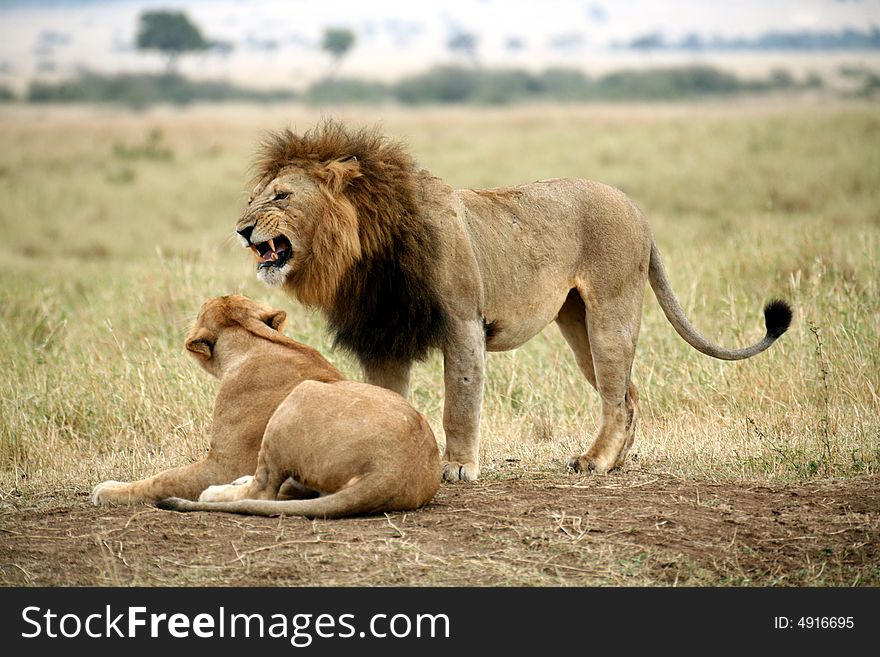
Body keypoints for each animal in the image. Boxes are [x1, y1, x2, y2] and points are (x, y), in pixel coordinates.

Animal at [89, 294, 440, 516]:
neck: (255, 339)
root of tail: (394, 471)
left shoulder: (223, 463)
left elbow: (163, 479)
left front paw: (108, 491)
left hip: (299, 396)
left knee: (263, 490)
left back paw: (217, 493)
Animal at [237, 120, 796, 482]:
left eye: (281, 196)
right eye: (252, 199)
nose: (242, 230)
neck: (363, 250)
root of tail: (637, 209)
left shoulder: (463, 322)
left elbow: (460, 402)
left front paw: (459, 467)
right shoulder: (384, 335)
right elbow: (386, 399)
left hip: (611, 313)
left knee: (616, 398)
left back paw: (593, 462)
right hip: (577, 324)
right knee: (627, 394)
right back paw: (614, 463)